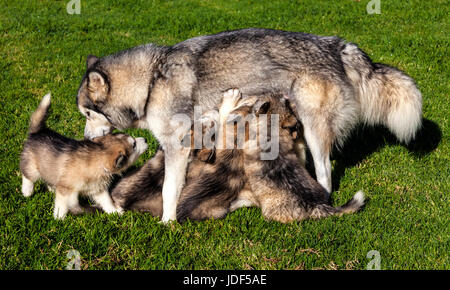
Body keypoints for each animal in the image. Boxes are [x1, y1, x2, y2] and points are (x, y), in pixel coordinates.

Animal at [20, 94, 148, 219]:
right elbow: (62, 204)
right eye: (134, 145)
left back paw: (51, 188)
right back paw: (27, 191)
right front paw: (59, 218)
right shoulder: (65, 188)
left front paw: (114, 211)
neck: (97, 158)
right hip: (31, 166)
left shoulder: (98, 189)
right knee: (28, 177)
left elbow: (107, 201)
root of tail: (37, 132)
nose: (146, 139)